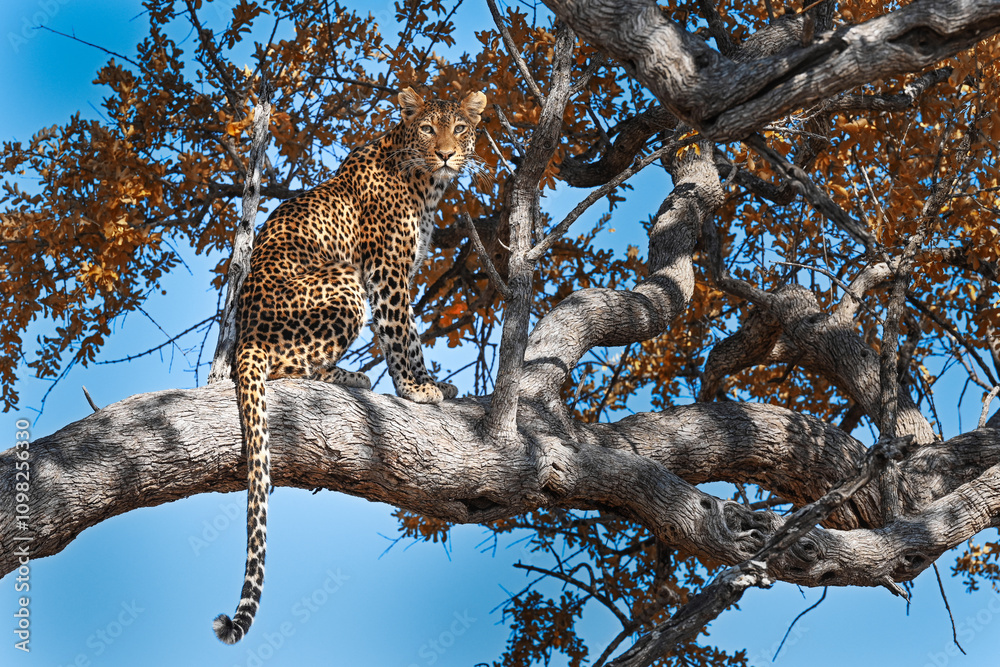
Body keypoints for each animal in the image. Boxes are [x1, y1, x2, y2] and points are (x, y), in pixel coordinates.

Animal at [213, 87, 487, 644]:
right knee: (290, 368)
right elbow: (403, 333)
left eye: (460, 129)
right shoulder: (386, 270)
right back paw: (351, 377)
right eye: (428, 129)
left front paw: (431, 387)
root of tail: (245, 338)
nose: (447, 154)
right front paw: (419, 388)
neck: (424, 183)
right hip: (343, 283)